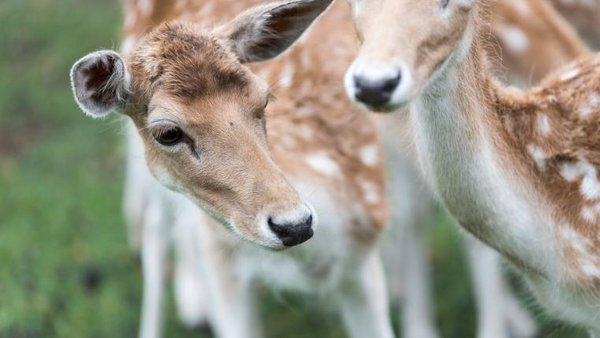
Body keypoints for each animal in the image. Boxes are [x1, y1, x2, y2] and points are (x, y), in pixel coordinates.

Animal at [69, 0, 398, 338]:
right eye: (168, 133)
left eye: (264, 100)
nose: (294, 225)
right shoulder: (220, 257)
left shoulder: (363, 252)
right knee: (154, 225)